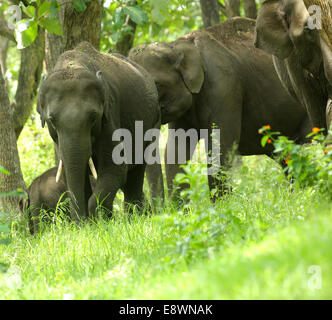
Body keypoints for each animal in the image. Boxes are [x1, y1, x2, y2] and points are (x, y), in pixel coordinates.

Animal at [37, 41, 161, 221]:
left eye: (93, 116)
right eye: (51, 119)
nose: (81, 222)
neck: (73, 64)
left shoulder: (110, 116)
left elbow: (115, 168)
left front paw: (101, 221)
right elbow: (70, 171)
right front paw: (86, 224)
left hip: (150, 124)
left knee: (136, 172)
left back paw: (134, 217)